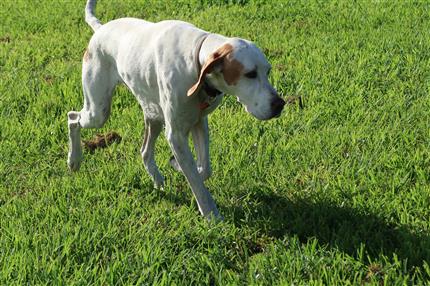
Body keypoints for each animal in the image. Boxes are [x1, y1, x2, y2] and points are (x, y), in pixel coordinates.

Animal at [68, 0, 286, 221]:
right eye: (250, 74)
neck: (195, 60)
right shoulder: (176, 134)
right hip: (98, 112)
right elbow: (197, 182)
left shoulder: (199, 122)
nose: (280, 104)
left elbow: (203, 169)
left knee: (145, 151)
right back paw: (74, 160)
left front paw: (178, 165)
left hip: (153, 114)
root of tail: (101, 29)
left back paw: (157, 179)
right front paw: (211, 215)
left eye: (267, 71)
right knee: (73, 118)